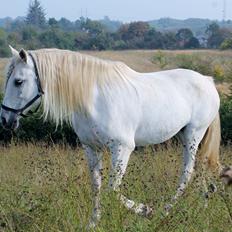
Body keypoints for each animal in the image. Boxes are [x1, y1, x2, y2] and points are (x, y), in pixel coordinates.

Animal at [0, 46, 221, 227]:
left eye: (18, 82)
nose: (5, 119)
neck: (94, 99)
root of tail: (207, 81)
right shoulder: (91, 148)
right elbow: (97, 187)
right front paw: (93, 223)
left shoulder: (122, 149)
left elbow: (112, 190)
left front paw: (146, 210)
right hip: (186, 137)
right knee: (199, 172)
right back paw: (202, 206)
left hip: (193, 135)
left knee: (187, 174)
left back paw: (164, 211)